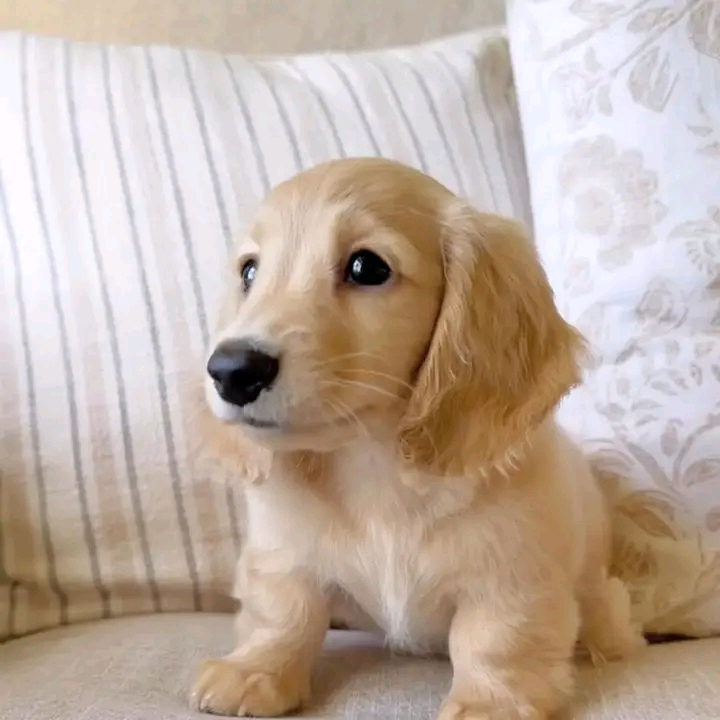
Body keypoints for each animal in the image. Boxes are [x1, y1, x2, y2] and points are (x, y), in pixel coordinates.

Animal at [191, 158, 645, 719]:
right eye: (249, 272)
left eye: (366, 267)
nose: (231, 370)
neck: (373, 463)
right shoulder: (281, 552)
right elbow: (283, 614)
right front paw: (253, 670)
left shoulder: (511, 574)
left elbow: (495, 639)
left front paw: (489, 701)